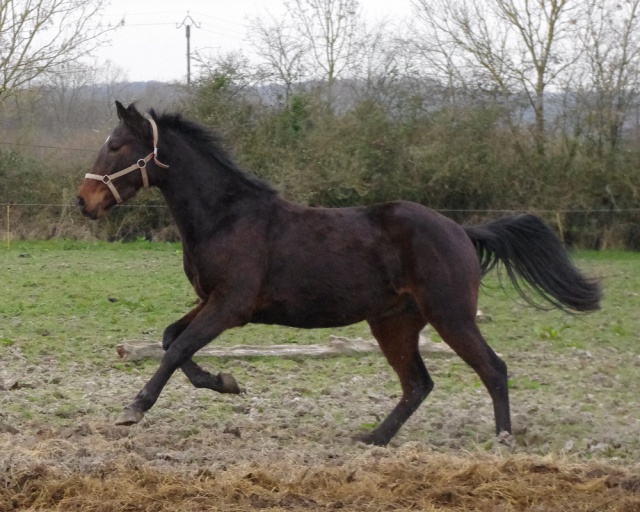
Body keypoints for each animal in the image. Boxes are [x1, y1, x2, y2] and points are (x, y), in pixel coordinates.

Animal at [76, 102, 600, 446]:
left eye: (116, 146)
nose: (85, 201)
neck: (226, 217)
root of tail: (461, 230)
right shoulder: (211, 301)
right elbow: (171, 339)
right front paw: (225, 382)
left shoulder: (230, 306)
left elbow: (178, 347)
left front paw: (135, 408)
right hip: (394, 323)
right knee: (418, 385)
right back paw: (372, 439)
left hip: (451, 316)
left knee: (493, 369)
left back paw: (503, 441)